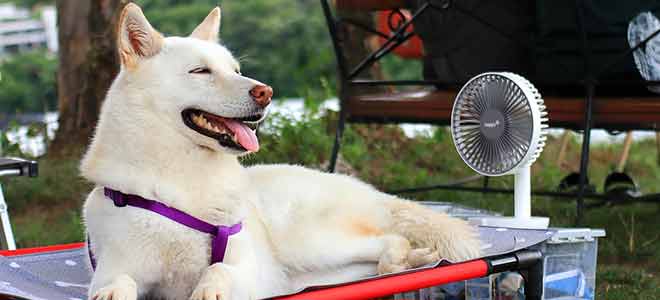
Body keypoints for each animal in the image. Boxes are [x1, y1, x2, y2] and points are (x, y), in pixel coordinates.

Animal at [82, 3, 480, 298]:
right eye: (200, 71)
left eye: (235, 69)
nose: (266, 92)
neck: (182, 181)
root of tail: (370, 192)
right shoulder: (116, 266)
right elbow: (117, 282)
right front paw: (113, 292)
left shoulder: (249, 269)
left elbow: (219, 269)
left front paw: (210, 289)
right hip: (316, 270)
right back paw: (411, 261)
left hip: (308, 240)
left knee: (390, 238)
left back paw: (408, 258)